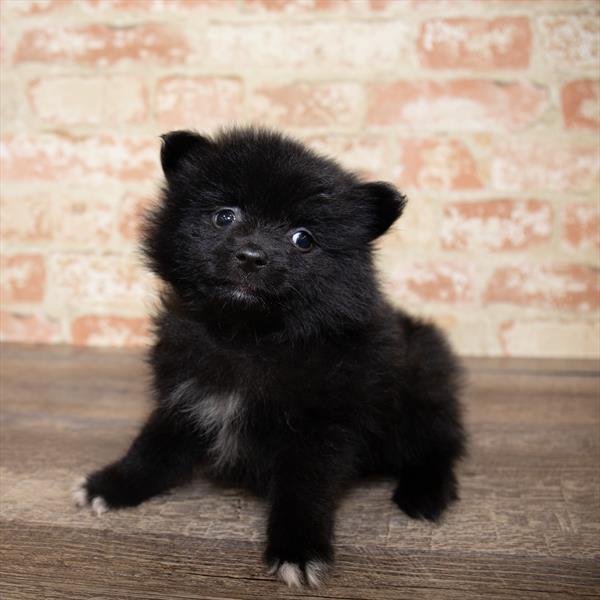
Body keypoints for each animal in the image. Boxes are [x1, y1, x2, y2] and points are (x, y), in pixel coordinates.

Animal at [74, 127, 464, 592]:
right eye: (225, 217)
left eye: (303, 239)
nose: (251, 255)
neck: (248, 335)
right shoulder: (186, 394)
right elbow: (154, 446)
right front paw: (113, 485)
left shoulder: (322, 425)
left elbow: (304, 488)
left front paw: (298, 549)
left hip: (419, 393)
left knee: (439, 444)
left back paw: (424, 494)